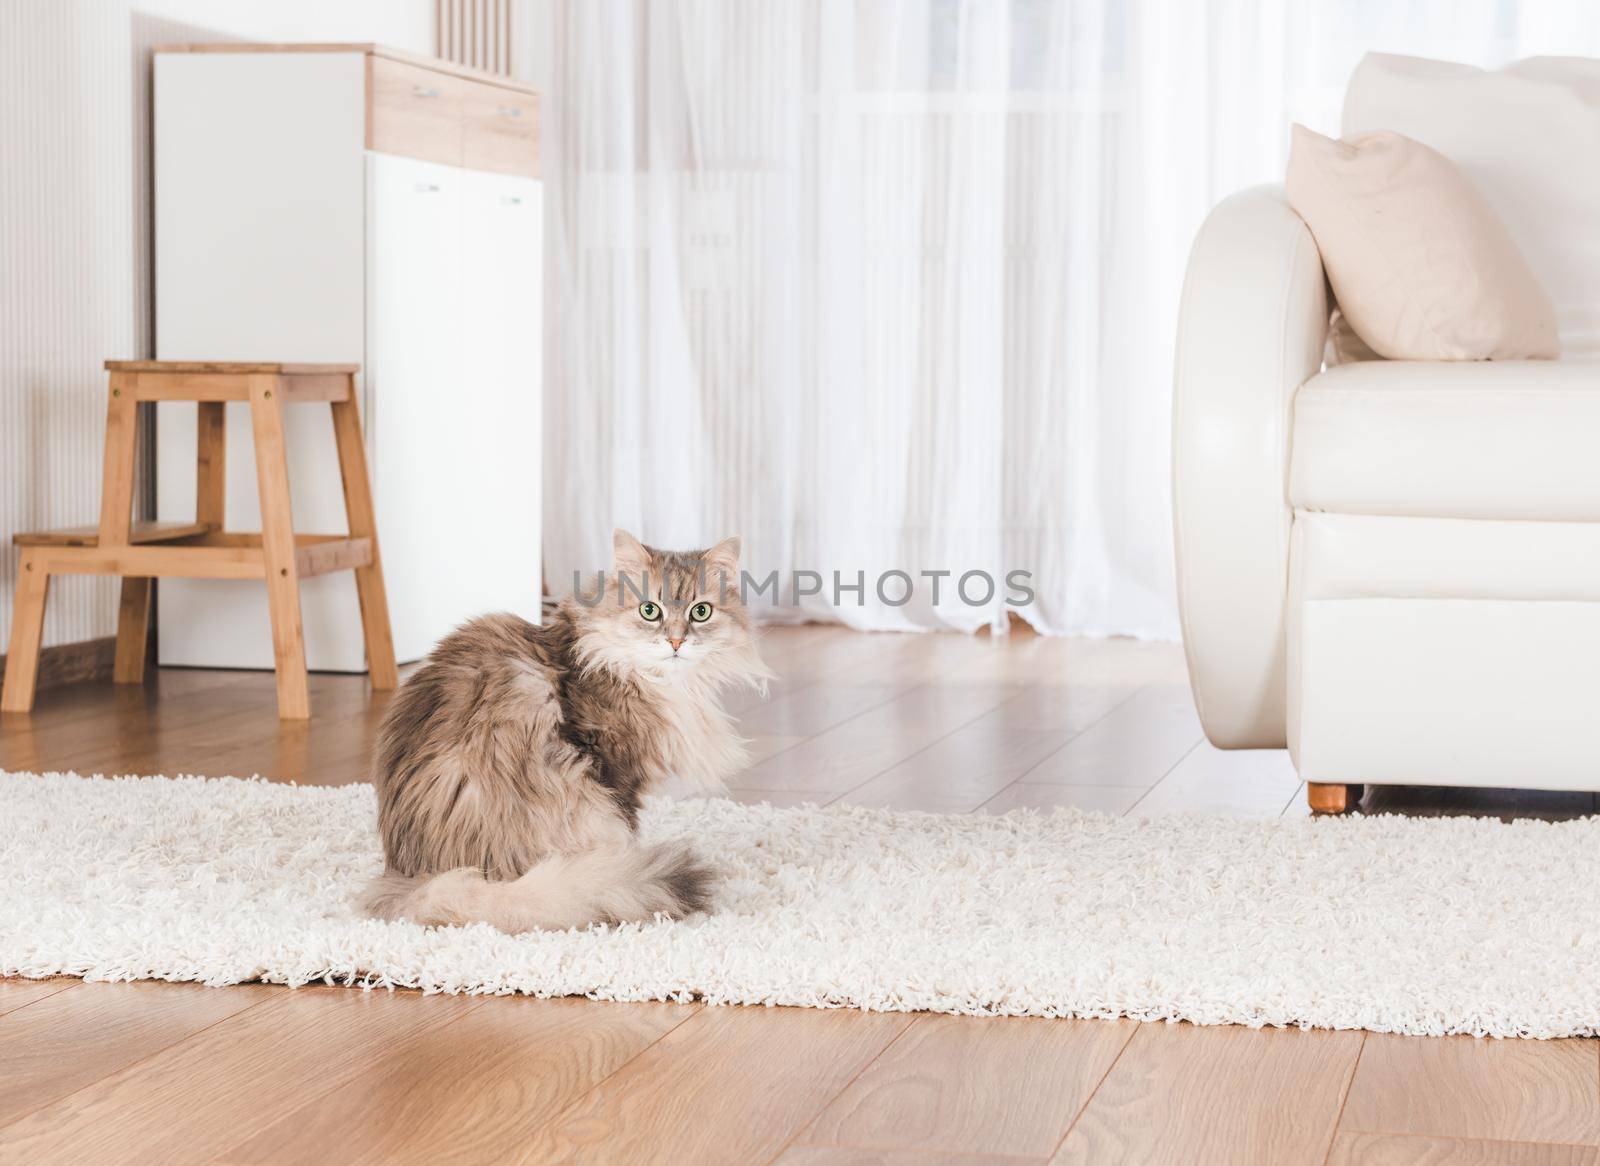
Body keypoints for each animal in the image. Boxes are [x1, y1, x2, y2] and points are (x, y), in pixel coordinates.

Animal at [364, 531, 768, 934]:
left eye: (701, 612)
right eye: (650, 611)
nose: (676, 642)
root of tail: (414, 880)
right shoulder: (614, 770)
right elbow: (630, 828)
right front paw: (630, 863)